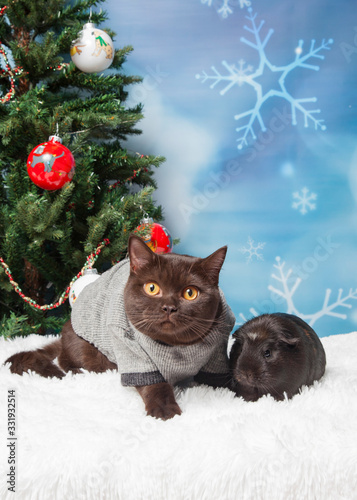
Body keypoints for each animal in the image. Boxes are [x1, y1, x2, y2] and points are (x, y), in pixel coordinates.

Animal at [5, 234, 235, 418]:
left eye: (190, 293)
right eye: (152, 288)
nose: (169, 307)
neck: (175, 347)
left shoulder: (218, 344)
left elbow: (219, 379)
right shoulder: (129, 347)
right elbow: (154, 384)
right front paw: (165, 410)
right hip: (88, 351)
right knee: (64, 357)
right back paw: (77, 372)